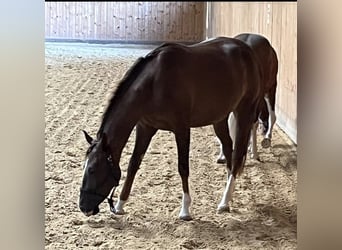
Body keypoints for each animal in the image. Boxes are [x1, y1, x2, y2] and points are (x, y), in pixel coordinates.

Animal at [79, 36, 262, 221]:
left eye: (92, 169)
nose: (84, 207)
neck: (154, 83)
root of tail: (247, 50)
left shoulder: (181, 129)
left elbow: (183, 167)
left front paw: (185, 210)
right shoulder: (145, 128)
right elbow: (133, 164)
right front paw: (120, 205)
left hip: (244, 112)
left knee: (237, 155)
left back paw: (224, 202)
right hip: (219, 119)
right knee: (228, 150)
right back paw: (228, 196)